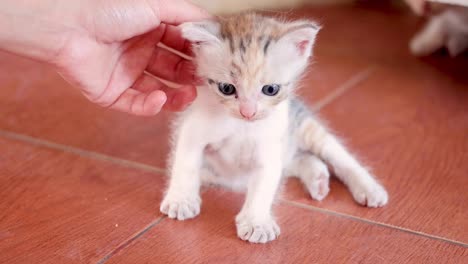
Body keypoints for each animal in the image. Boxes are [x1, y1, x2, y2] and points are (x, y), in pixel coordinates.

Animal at [160, 12, 388, 243]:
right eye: (226, 88)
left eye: (270, 89)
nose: (248, 112)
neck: (242, 126)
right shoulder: (192, 128)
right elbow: (186, 163)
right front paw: (181, 199)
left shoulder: (271, 146)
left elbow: (265, 184)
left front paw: (256, 222)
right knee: (299, 160)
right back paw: (319, 180)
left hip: (302, 126)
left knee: (339, 156)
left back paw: (369, 188)